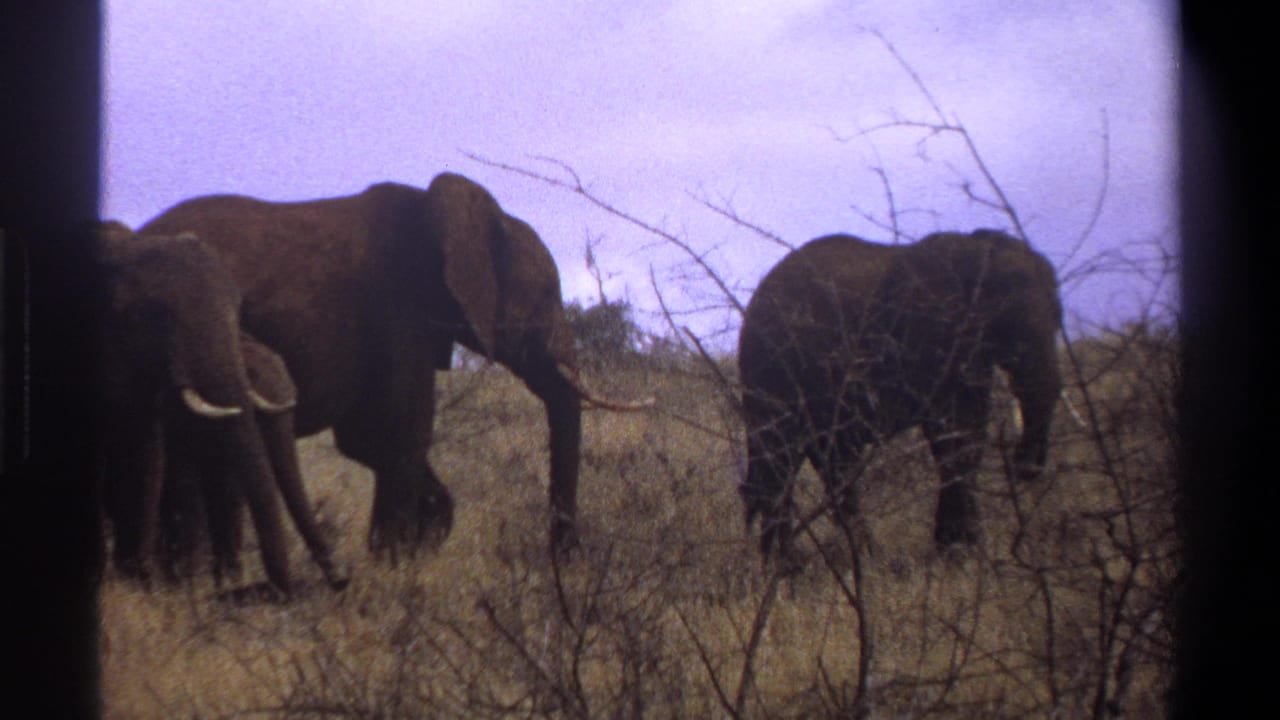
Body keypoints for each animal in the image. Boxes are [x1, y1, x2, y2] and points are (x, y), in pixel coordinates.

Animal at [139, 172, 650, 561]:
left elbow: (366, 439)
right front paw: (396, 568)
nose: (566, 560)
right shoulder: (398, 309)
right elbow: (400, 429)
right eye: (545, 296)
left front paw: (420, 544)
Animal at [737, 229, 1063, 561]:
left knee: (829, 464)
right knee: (780, 458)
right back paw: (786, 562)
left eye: (1058, 318)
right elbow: (951, 433)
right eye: (1011, 328)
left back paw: (846, 556)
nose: (1027, 468)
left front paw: (961, 548)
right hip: (770, 372)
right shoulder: (931, 335)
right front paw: (958, 552)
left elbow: (970, 434)